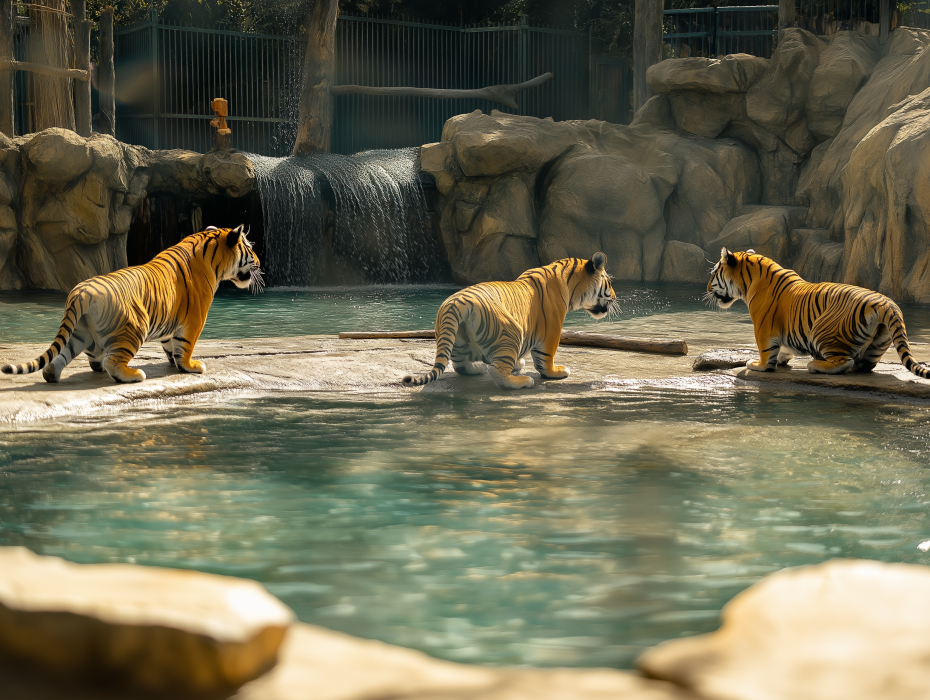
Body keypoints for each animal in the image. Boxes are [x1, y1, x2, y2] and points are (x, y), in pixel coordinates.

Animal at [2, 225, 262, 384]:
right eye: (250, 248)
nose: (260, 263)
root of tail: (80, 292)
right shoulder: (194, 320)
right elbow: (185, 346)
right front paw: (191, 366)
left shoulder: (170, 322)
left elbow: (170, 344)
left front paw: (173, 361)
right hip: (134, 328)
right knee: (112, 361)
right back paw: (135, 374)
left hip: (78, 333)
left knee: (59, 357)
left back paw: (51, 375)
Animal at [402, 253, 617, 389]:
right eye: (609, 282)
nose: (615, 298)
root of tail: (456, 303)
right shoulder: (551, 331)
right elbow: (545, 358)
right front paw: (556, 372)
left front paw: (519, 363)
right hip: (511, 332)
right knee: (497, 371)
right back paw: (522, 381)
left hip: (456, 339)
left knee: (460, 365)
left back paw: (478, 368)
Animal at [706, 247, 930, 377]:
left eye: (714, 273)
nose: (707, 289)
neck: (749, 282)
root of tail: (886, 303)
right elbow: (784, 348)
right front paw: (782, 360)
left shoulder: (763, 328)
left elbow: (766, 352)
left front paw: (758, 364)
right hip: (879, 342)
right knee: (864, 365)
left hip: (823, 331)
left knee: (844, 361)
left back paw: (814, 365)